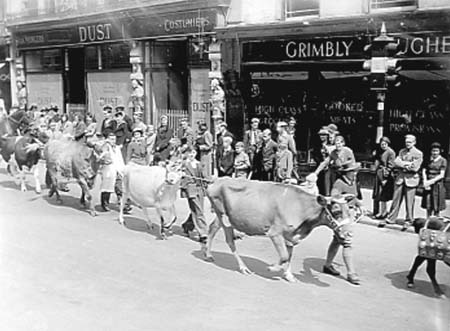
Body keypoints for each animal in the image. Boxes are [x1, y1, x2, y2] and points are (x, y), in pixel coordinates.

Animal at [206, 178, 356, 284]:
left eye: (349, 211)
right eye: (336, 212)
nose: (349, 234)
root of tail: (217, 180)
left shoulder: (291, 236)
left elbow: (288, 256)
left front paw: (288, 275)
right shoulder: (274, 233)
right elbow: (283, 256)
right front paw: (272, 268)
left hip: (223, 218)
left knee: (212, 228)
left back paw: (208, 254)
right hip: (224, 218)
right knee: (229, 241)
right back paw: (243, 267)